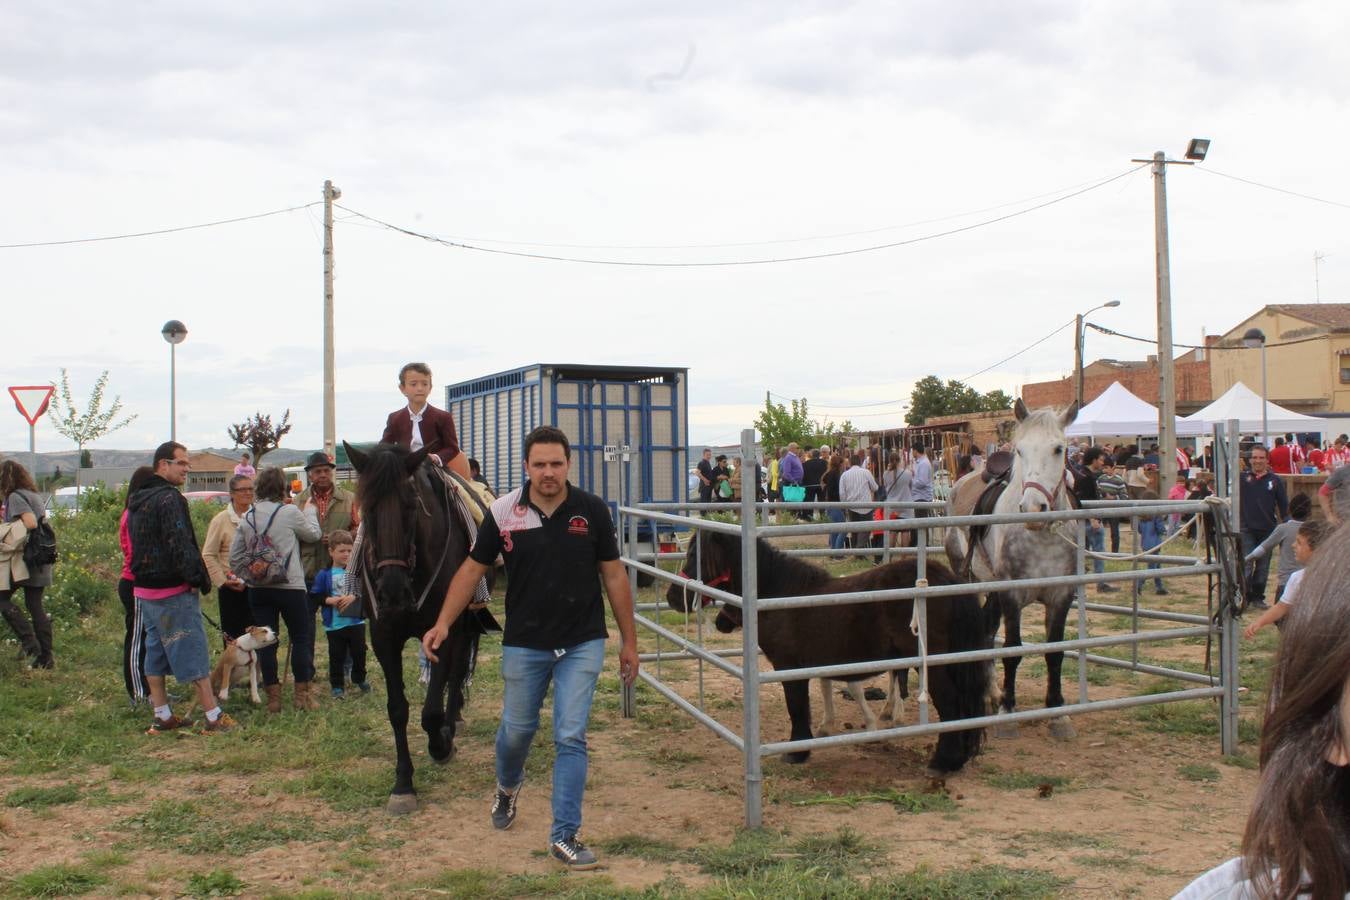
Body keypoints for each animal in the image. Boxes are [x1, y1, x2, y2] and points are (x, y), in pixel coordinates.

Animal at [348, 442, 480, 814]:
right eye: (368, 509)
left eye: (410, 507)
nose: (392, 592)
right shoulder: (383, 638)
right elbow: (397, 710)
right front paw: (403, 784)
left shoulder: (443, 630)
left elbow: (431, 710)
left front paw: (441, 744)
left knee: (456, 672)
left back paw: (452, 722)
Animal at [664, 531, 993, 777]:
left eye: (695, 556)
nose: (672, 598)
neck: (780, 595)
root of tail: (945, 579)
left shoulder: (789, 667)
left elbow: (797, 708)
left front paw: (797, 752)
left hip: (933, 666)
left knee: (950, 706)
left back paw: (943, 762)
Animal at [945, 399, 1080, 739]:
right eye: (1020, 450)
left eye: (1059, 449)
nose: (1033, 508)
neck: (1040, 538)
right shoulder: (1011, 595)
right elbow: (1012, 649)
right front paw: (1008, 711)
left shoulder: (1061, 595)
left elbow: (1055, 652)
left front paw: (1057, 712)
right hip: (972, 581)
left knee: (986, 630)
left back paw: (991, 693)